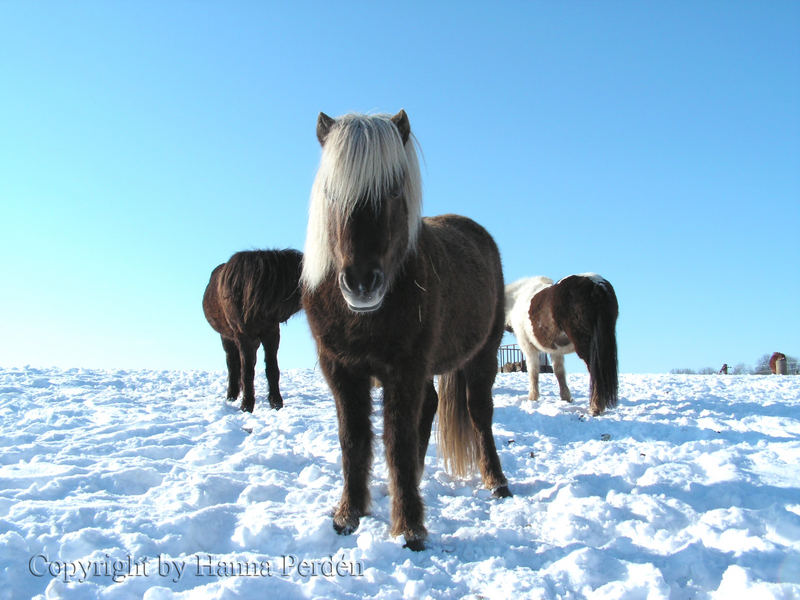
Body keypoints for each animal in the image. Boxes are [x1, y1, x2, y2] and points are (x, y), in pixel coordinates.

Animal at [203, 248, 304, 412]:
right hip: (227, 338)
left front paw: (276, 402)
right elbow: (247, 371)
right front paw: (247, 405)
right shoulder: (244, 336)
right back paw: (232, 396)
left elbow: (272, 368)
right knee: (232, 364)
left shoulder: (271, 333)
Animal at [300, 110, 512, 552]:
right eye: (331, 192)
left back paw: (497, 482)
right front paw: (349, 514)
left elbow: (396, 440)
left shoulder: (405, 368)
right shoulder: (341, 370)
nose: (361, 282)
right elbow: (354, 438)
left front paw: (410, 527)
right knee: (430, 407)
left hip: (483, 356)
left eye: (394, 191)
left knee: (479, 413)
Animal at [506, 274, 620, 414]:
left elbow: (533, 371)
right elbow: (559, 371)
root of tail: (596, 285)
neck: (517, 299)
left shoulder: (528, 347)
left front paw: (532, 397)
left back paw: (595, 407)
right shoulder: (555, 349)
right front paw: (566, 397)